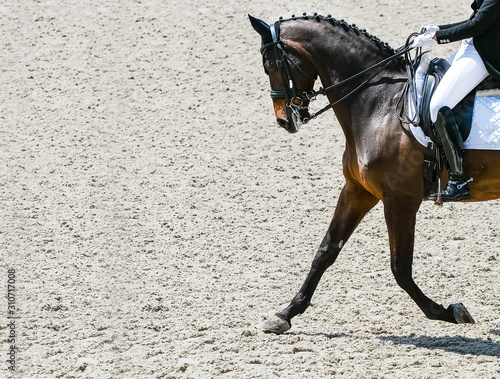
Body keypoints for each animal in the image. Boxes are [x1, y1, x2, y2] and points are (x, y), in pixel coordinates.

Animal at [250, 14, 500, 336]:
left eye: (270, 65)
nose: (284, 121)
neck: (378, 103)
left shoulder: (400, 199)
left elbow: (400, 268)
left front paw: (448, 311)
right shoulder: (358, 190)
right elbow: (326, 251)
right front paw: (285, 314)